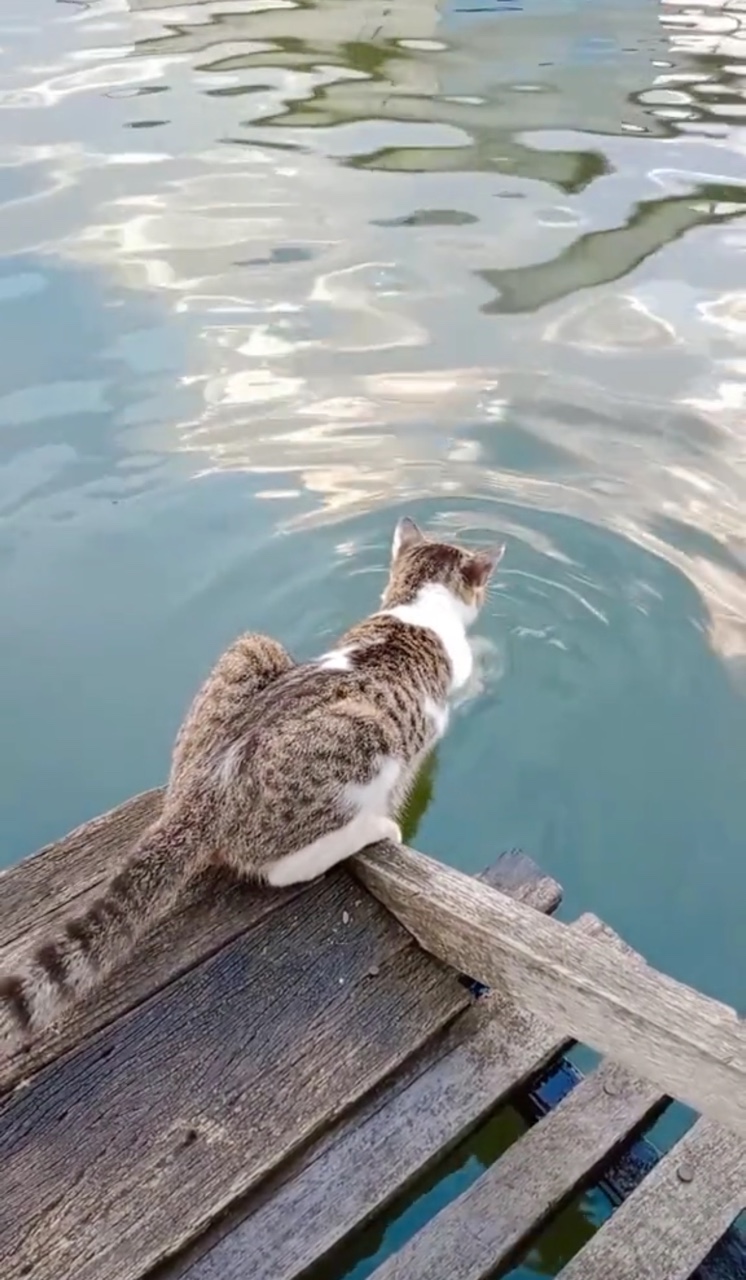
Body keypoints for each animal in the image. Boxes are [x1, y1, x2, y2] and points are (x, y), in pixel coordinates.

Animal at [1, 514, 501, 1044]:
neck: (413, 607)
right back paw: (372, 829)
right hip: (369, 734)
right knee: (277, 866)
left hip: (253, 649)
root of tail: (203, 791)